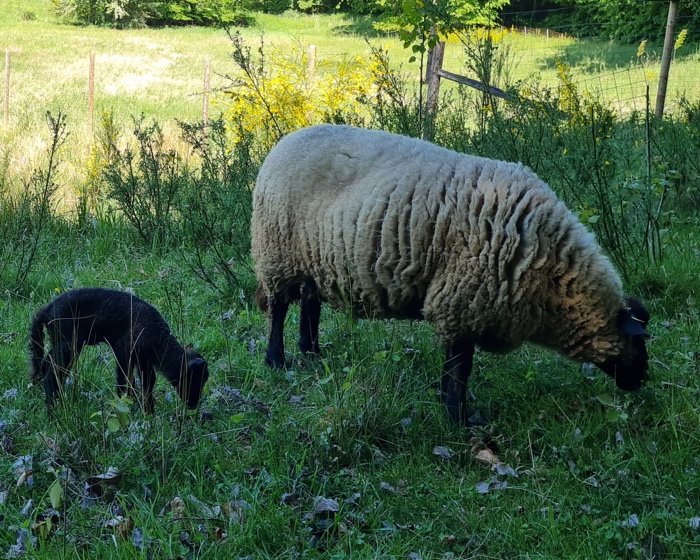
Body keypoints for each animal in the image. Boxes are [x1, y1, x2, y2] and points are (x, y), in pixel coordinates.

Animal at [251, 124, 650, 423]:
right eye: (638, 342)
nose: (642, 383)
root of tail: (282, 142)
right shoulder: (461, 301)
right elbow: (460, 367)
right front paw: (458, 418)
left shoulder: (465, 305)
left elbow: (455, 365)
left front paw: (447, 404)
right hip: (276, 251)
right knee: (279, 308)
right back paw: (276, 360)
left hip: (312, 259)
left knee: (309, 303)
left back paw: (312, 353)